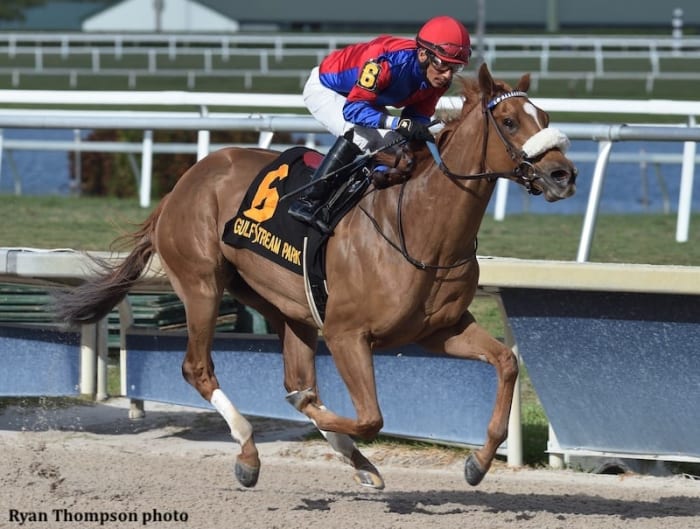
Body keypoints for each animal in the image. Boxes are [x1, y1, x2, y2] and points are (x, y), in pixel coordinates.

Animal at [53, 65, 576, 490]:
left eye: (545, 116)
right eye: (509, 121)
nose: (563, 175)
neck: (419, 225)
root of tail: (183, 183)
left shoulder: (439, 329)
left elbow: (505, 363)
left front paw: (477, 463)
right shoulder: (347, 334)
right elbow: (369, 417)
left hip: (284, 306)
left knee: (295, 379)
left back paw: (350, 457)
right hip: (202, 284)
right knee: (200, 369)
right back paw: (249, 452)